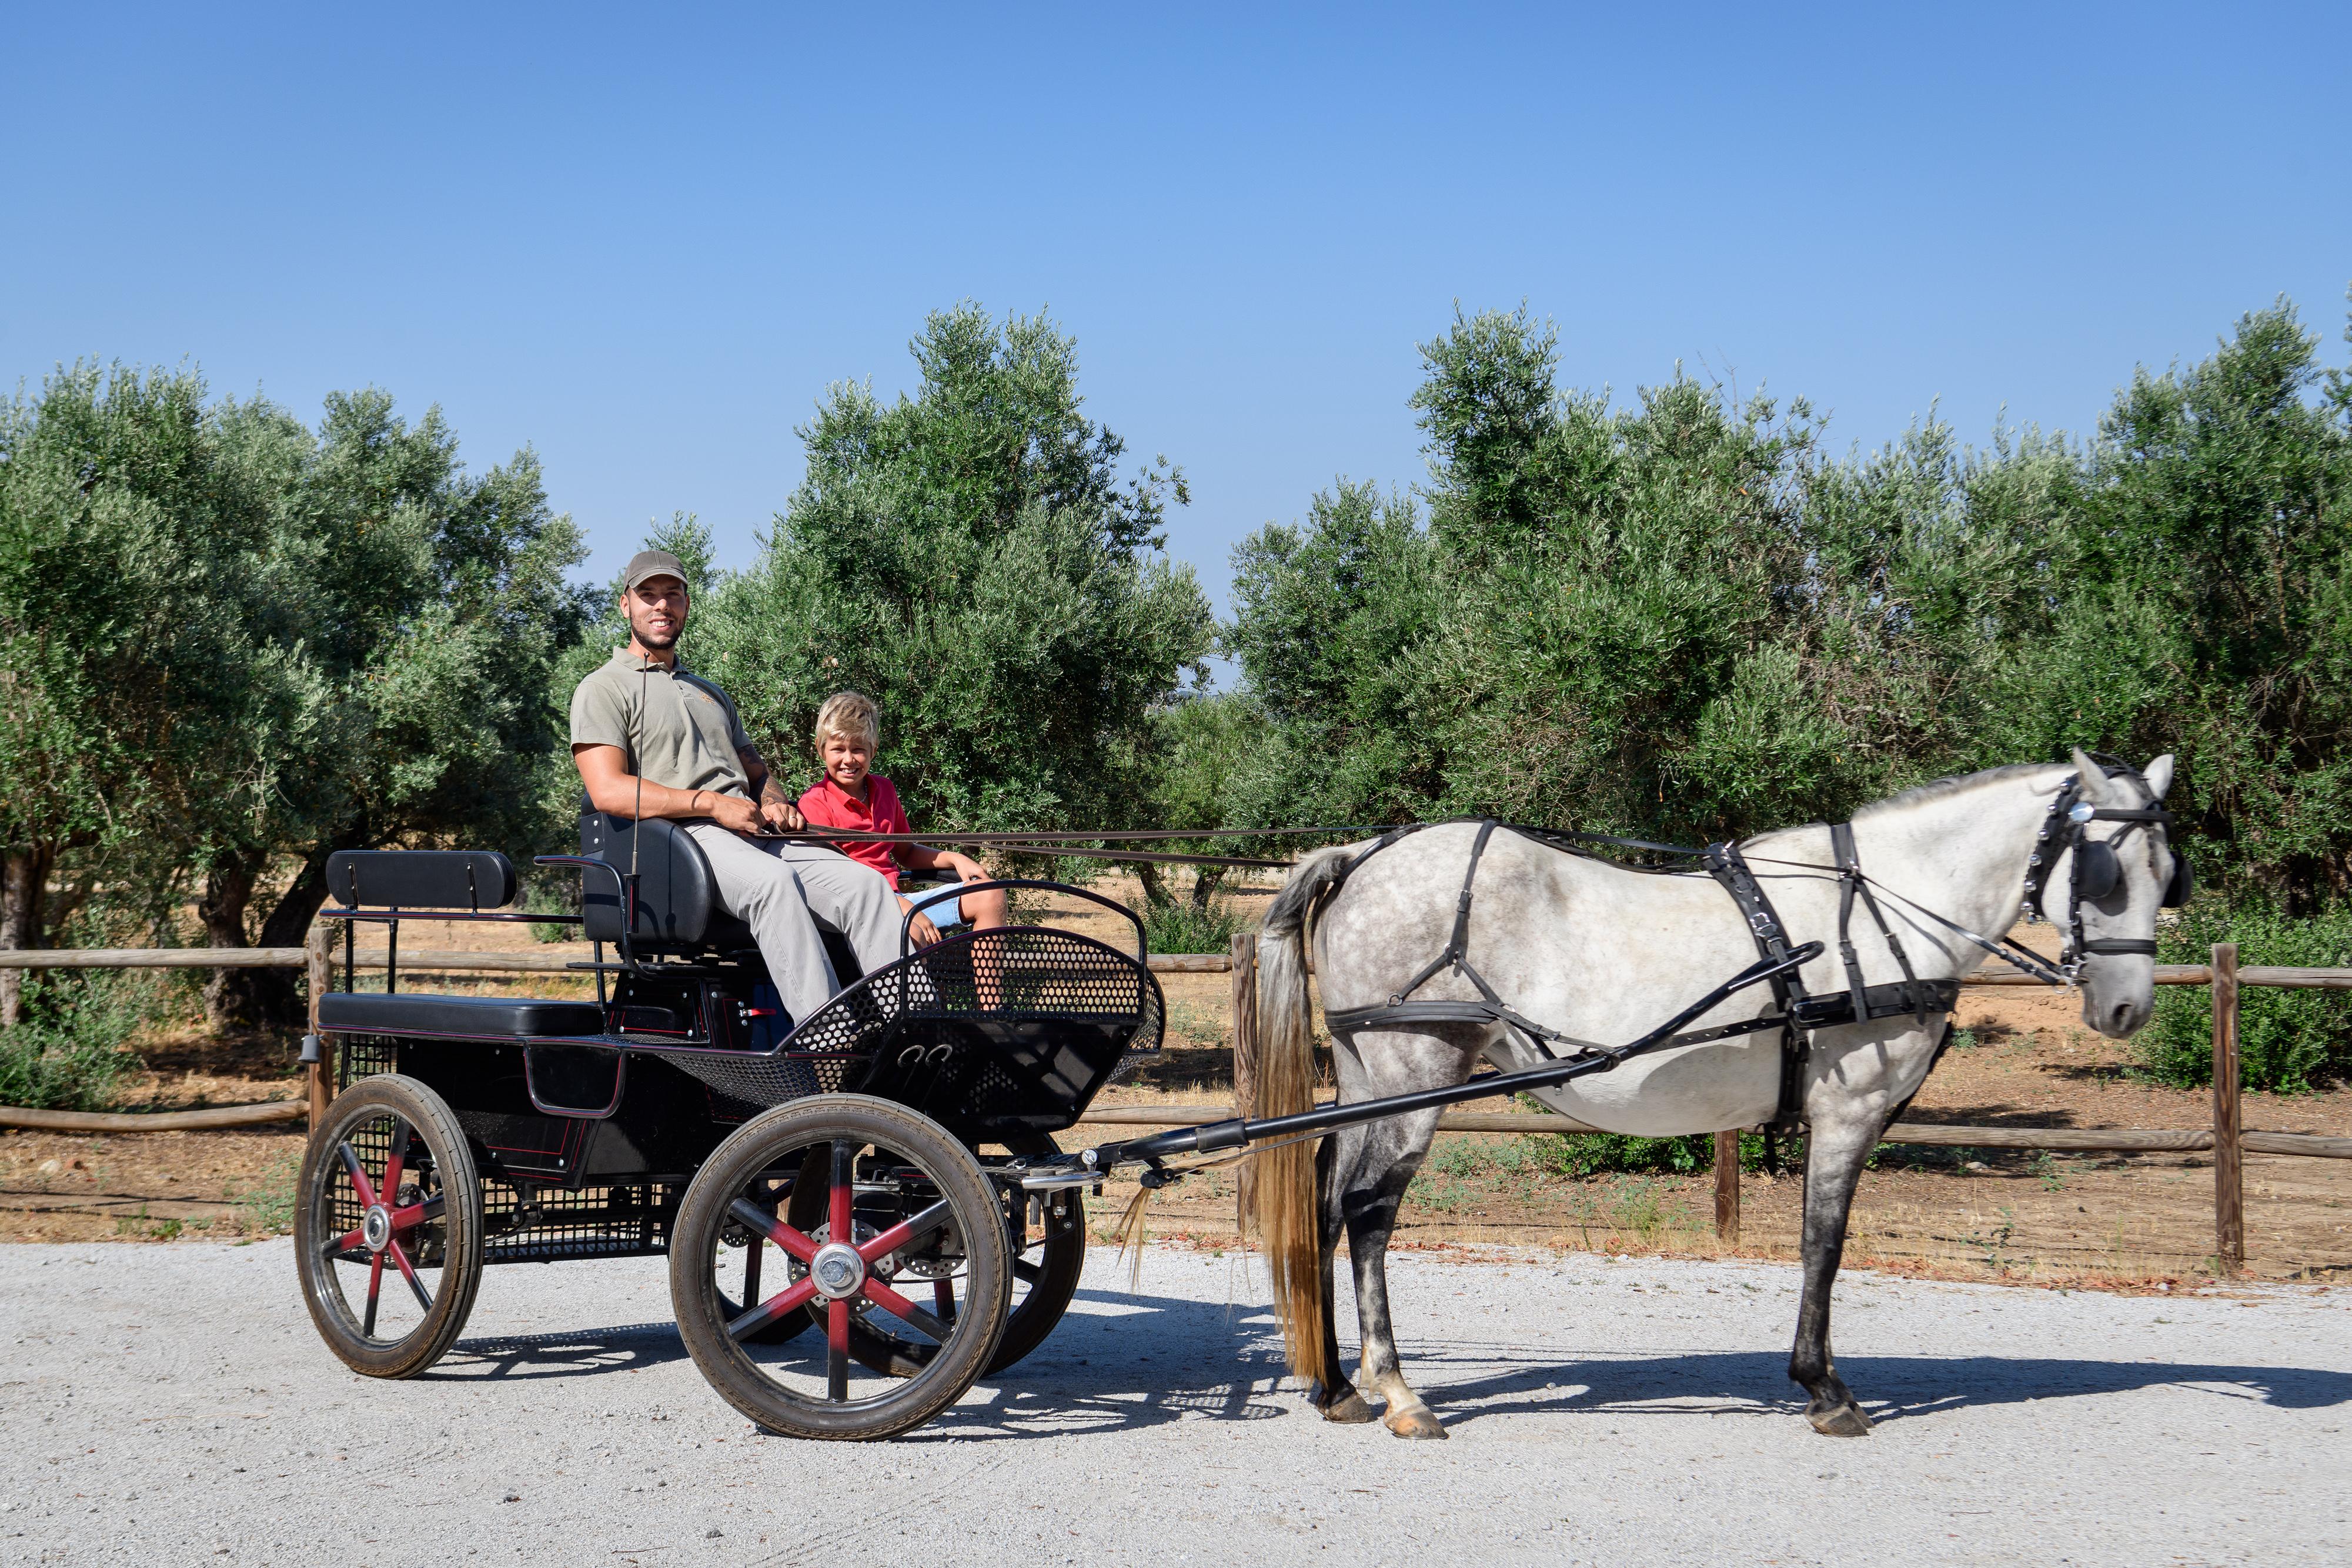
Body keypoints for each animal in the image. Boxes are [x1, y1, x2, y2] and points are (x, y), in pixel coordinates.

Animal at [1251, 752, 2183, 1439]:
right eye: (2104, 869)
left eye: (2168, 873)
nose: (2126, 1008)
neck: (1880, 910)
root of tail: (1363, 856)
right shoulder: (1848, 1110)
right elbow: (1823, 1244)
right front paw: (1825, 1389)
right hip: (1418, 1071)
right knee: (1370, 1211)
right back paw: (1399, 1390)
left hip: (1367, 1074)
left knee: (1325, 1199)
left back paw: (1337, 1385)